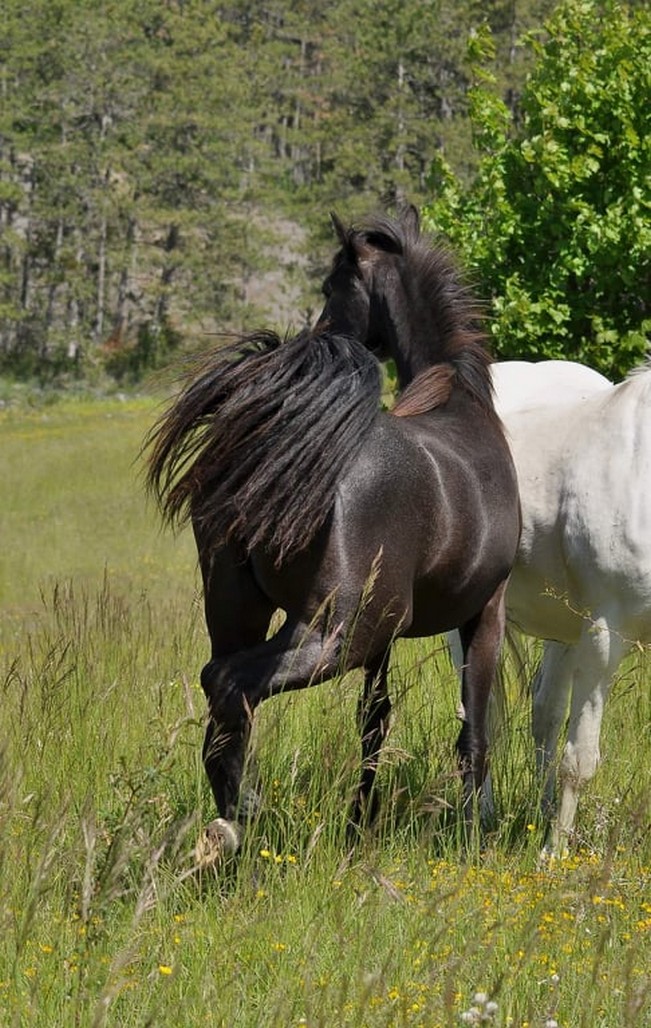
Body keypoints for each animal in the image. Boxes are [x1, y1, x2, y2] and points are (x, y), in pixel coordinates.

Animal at [146, 208, 518, 859]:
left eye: (328, 287)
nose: (322, 325)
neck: (460, 403)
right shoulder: (484, 611)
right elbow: (473, 733)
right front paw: (473, 834)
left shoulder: (386, 641)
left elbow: (374, 723)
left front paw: (358, 826)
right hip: (331, 634)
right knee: (229, 684)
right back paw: (244, 814)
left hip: (243, 614)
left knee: (221, 698)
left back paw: (229, 831)